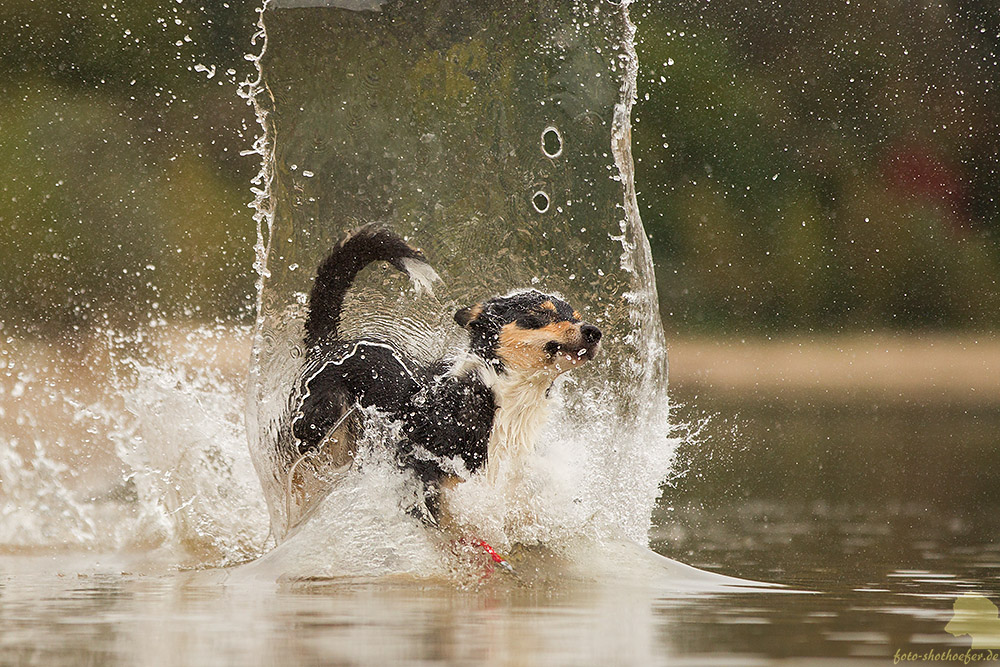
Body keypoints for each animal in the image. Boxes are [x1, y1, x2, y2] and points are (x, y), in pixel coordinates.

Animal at [274, 224, 600, 544]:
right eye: (541, 313)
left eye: (576, 316)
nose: (594, 332)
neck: (497, 399)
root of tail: (328, 346)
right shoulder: (426, 483)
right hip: (317, 440)